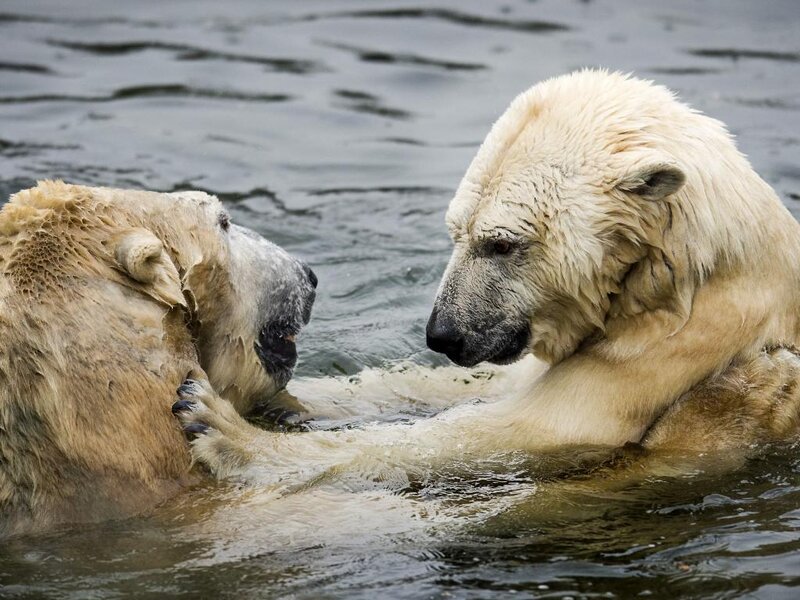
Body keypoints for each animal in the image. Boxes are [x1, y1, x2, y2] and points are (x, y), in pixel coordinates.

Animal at [169, 70, 800, 492]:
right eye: (456, 231)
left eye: (501, 243)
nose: (442, 335)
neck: (683, 276)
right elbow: (470, 388)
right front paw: (274, 396)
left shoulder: (682, 343)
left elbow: (527, 428)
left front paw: (223, 429)